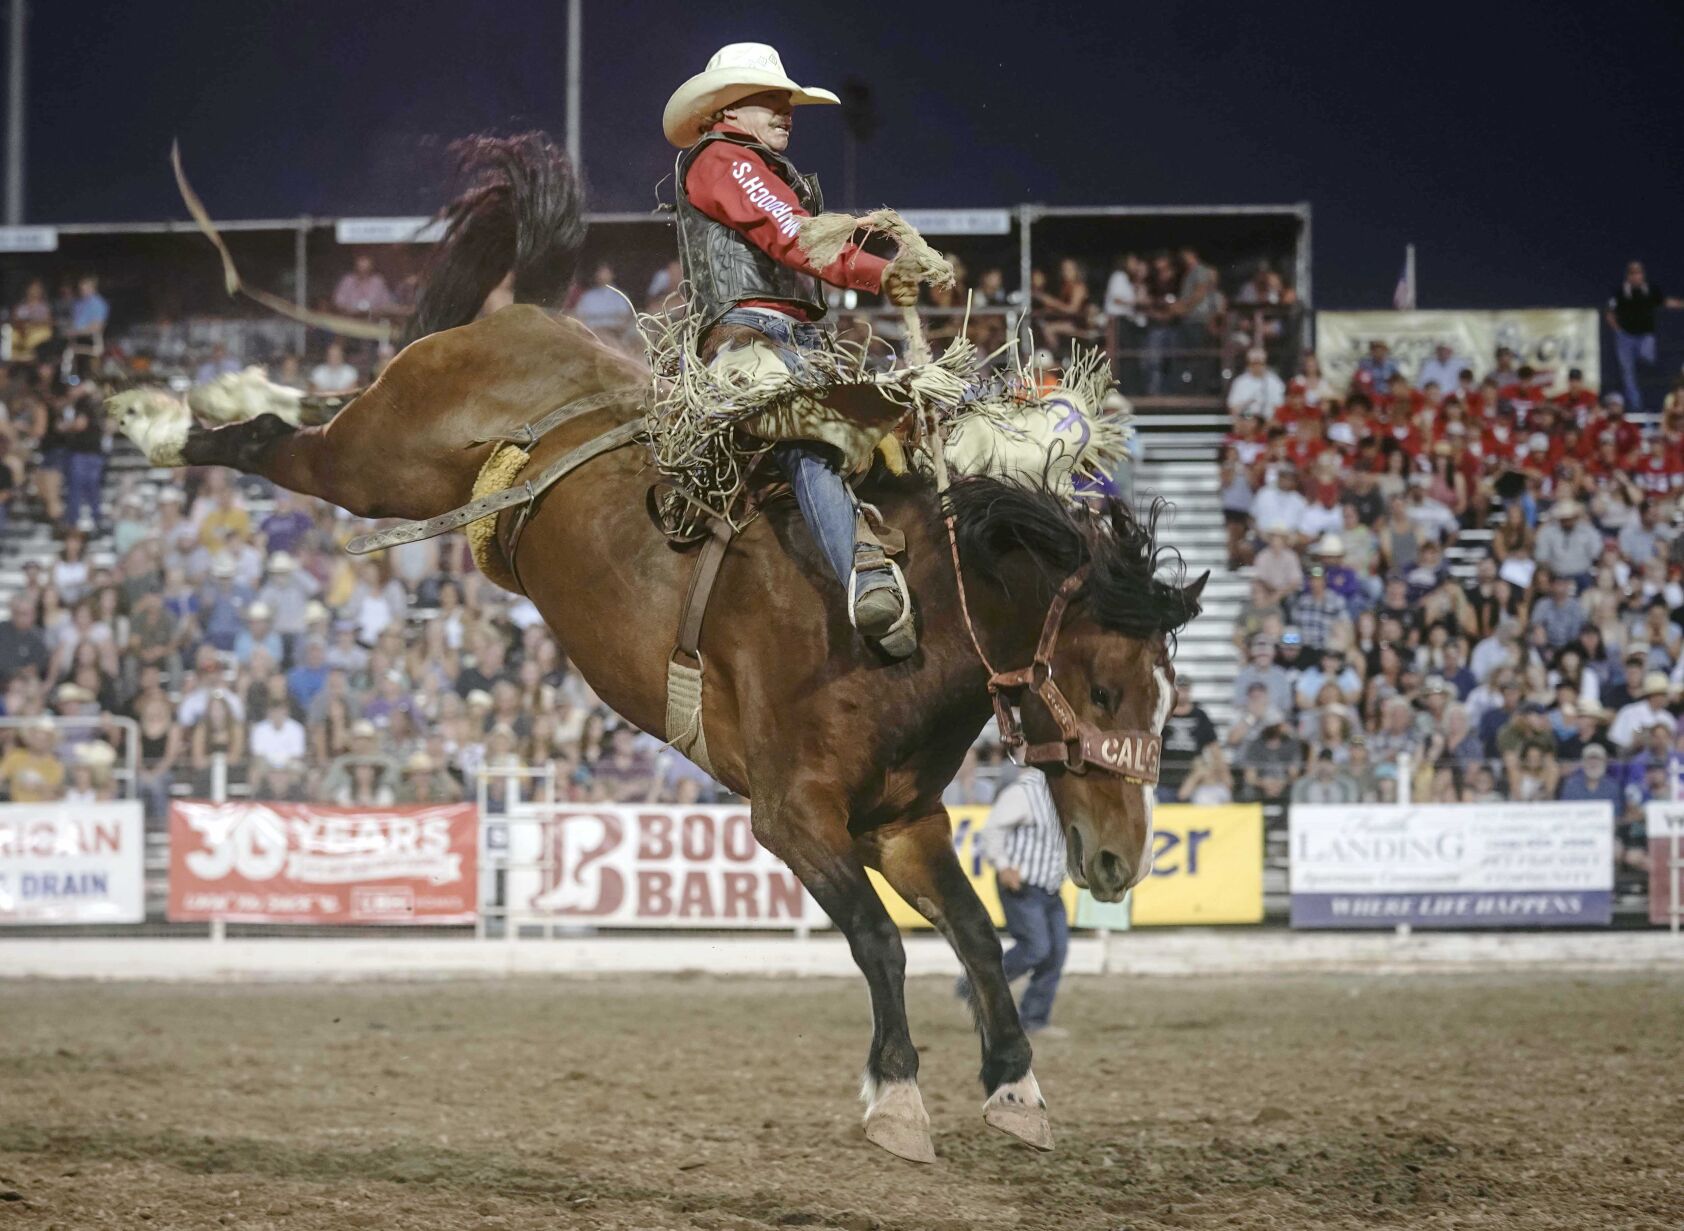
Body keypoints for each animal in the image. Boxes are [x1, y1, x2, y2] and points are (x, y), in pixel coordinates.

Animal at [111, 134, 1205, 1165]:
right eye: (1102, 689)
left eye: (1168, 702)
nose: (1118, 859)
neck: (908, 633)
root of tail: (518, 318)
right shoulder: (792, 817)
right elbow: (878, 943)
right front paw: (895, 1097)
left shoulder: (902, 822)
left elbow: (976, 932)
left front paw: (1016, 1086)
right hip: (379, 462)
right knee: (273, 440)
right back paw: (161, 418)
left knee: (303, 409)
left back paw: (224, 387)